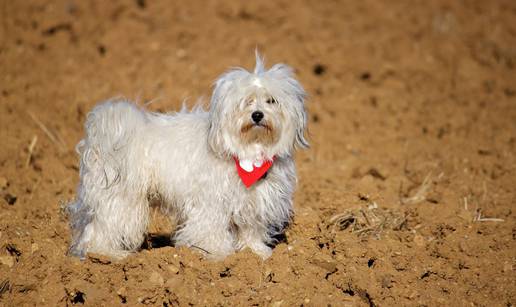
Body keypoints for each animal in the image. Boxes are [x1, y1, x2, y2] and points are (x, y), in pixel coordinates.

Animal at [69, 53, 310, 260]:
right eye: (246, 102)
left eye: (271, 101)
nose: (257, 115)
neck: (249, 154)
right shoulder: (211, 202)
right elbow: (211, 230)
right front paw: (218, 254)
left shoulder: (254, 202)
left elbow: (251, 229)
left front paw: (256, 252)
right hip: (121, 198)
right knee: (101, 228)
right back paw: (108, 254)